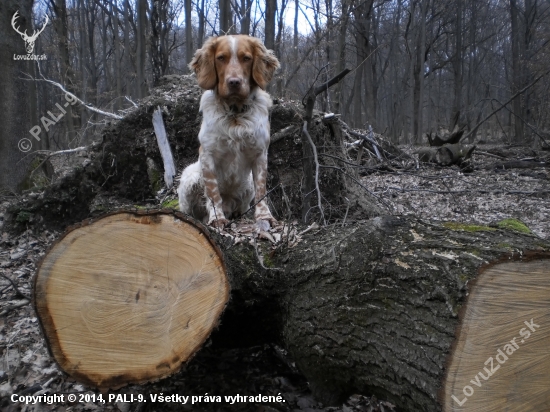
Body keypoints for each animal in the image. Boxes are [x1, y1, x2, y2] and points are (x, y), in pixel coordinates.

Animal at [179, 34, 280, 230]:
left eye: (246, 58)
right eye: (221, 58)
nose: (234, 82)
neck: (235, 114)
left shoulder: (260, 154)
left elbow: (261, 190)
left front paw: (264, 217)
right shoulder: (208, 155)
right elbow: (213, 193)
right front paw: (217, 218)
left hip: (247, 186)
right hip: (190, 177)